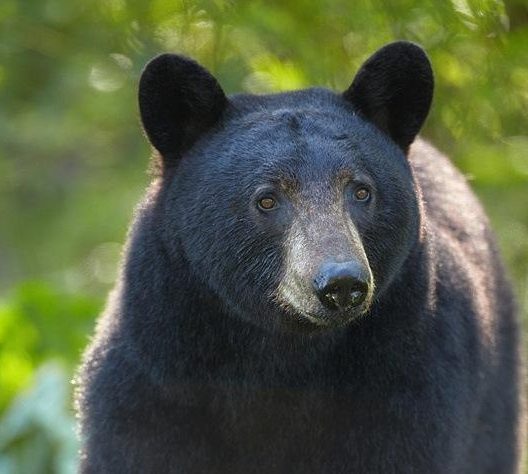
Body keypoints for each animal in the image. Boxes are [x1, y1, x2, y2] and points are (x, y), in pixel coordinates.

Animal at [74, 42, 524, 472]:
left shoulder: (410, 380)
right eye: (267, 199)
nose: (341, 283)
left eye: (361, 191)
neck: (283, 355)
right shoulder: (153, 382)